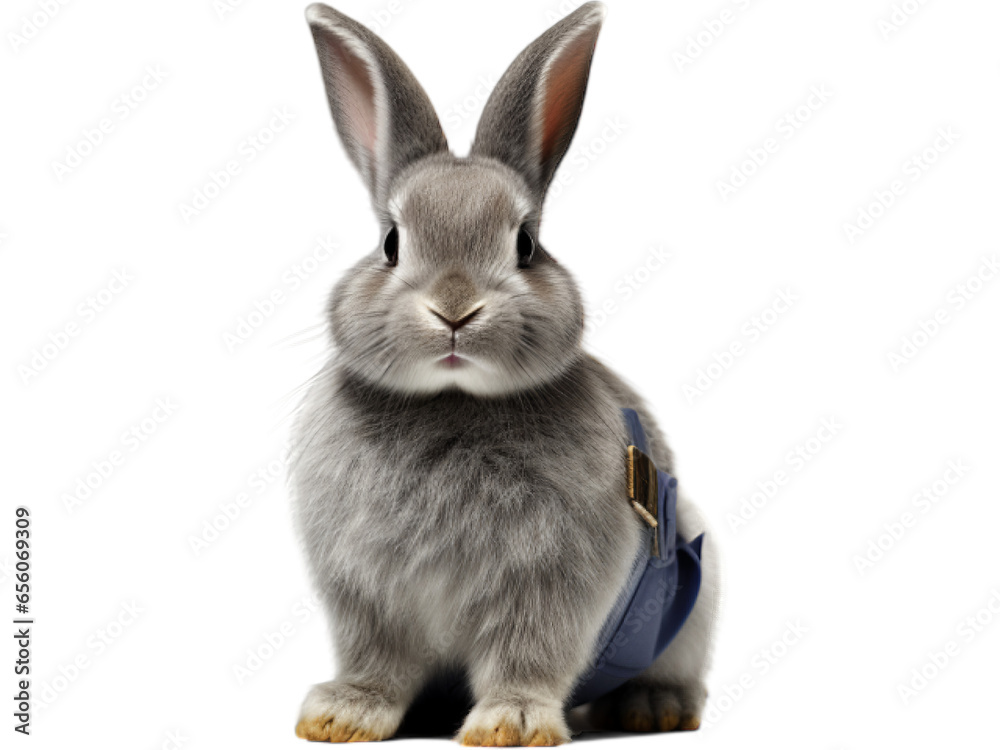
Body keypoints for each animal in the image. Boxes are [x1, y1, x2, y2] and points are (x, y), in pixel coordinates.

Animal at [291, 2, 719, 745]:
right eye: (390, 243)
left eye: (526, 244)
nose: (455, 309)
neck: (453, 401)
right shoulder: (367, 594)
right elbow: (377, 657)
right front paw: (342, 714)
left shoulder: (549, 584)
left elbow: (529, 651)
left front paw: (511, 722)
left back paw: (653, 707)